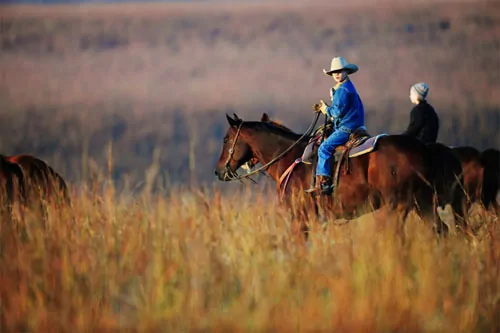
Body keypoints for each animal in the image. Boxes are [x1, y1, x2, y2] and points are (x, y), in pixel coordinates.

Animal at [215, 111, 446, 233]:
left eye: (226, 139)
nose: (218, 172)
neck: (289, 157)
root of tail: (422, 148)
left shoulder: (300, 220)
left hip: (397, 207)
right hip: (422, 203)